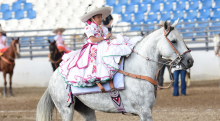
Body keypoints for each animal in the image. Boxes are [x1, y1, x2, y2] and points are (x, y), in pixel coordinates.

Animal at [36, 19, 194, 121]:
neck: (139, 70)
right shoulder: (144, 111)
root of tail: (54, 77)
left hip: (86, 109)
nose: (190, 61)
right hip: (66, 109)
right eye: (173, 41)